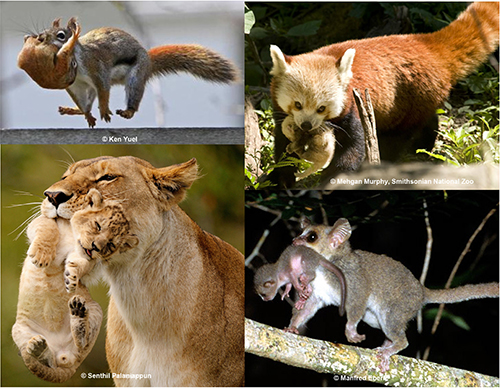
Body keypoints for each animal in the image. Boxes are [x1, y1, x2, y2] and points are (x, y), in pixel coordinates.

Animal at [17, 17, 238, 127]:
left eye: (61, 35)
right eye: (45, 31)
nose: (39, 37)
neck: (76, 61)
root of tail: (148, 61)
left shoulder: (97, 69)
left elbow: (104, 90)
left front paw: (104, 112)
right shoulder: (77, 86)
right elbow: (82, 101)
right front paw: (88, 115)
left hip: (135, 76)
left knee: (131, 96)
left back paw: (127, 111)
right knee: (88, 101)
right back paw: (74, 110)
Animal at [272, 1, 498, 186]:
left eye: (321, 108)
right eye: (298, 104)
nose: (306, 125)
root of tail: (424, 45)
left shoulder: (354, 107)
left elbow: (352, 149)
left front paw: (330, 181)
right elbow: (282, 146)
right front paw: (281, 179)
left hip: (408, 100)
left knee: (397, 136)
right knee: (428, 121)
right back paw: (423, 147)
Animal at [292, 217, 498, 372]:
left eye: (311, 237)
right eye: (301, 232)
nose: (294, 242)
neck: (323, 265)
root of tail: (421, 291)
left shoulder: (352, 279)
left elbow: (360, 297)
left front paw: (350, 331)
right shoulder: (320, 291)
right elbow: (310, 306)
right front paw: (292, 327)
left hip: (399, 307)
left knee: (397, 330)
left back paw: (389, 349)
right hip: (373, 317)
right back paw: (387, 345)